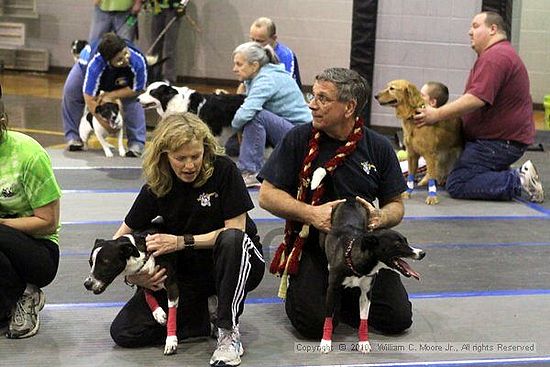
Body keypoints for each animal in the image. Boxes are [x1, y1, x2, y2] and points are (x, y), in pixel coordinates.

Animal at [320, 197, 426, 356]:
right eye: (397, 244)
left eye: (406, 241)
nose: (422, 253)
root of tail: (350, 200)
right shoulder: (332, 290)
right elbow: (328, 316)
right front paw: (325, 342)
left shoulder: (366, 293)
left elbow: (364, 318)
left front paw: (364, 343)